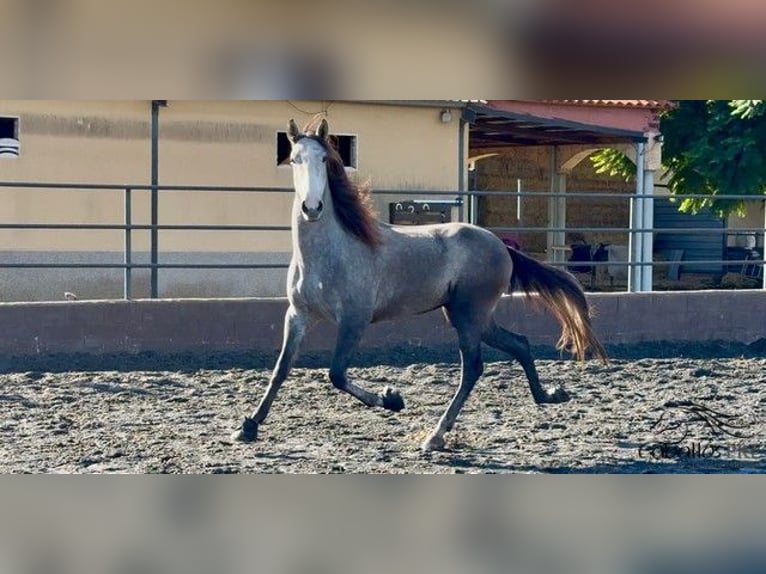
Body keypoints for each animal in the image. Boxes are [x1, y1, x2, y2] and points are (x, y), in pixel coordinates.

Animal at [232, 118, 607, 452]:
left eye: (324, 159)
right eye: (294, 159)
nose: (312, 207)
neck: (330, 253)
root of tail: (501, 246)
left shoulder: (354, 320)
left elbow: (336, 373)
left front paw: (392, 399)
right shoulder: (298, 315)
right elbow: (280, 370)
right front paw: (248, 426)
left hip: (468, 316)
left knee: (473, 368)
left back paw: (436, 436)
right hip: (470, 316)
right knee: (520, 343)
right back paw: (549, 396)